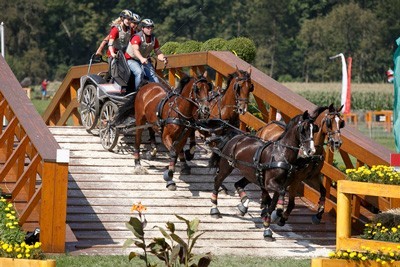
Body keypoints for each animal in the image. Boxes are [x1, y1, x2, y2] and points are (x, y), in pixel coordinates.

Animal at [209, 111, 318, 241]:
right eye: (303, 129)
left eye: (314, 129)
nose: (311, 151)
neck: (281, 154)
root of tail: (235, 137)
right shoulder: (270, 183)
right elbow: (279, 195)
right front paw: (278, 213)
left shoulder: (281, 184)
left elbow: (273, 203)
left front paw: (267, 228)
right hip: (227, 166)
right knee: (217, 181)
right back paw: (215, 210)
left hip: (250, 174)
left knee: (238, 184)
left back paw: (243, 205)